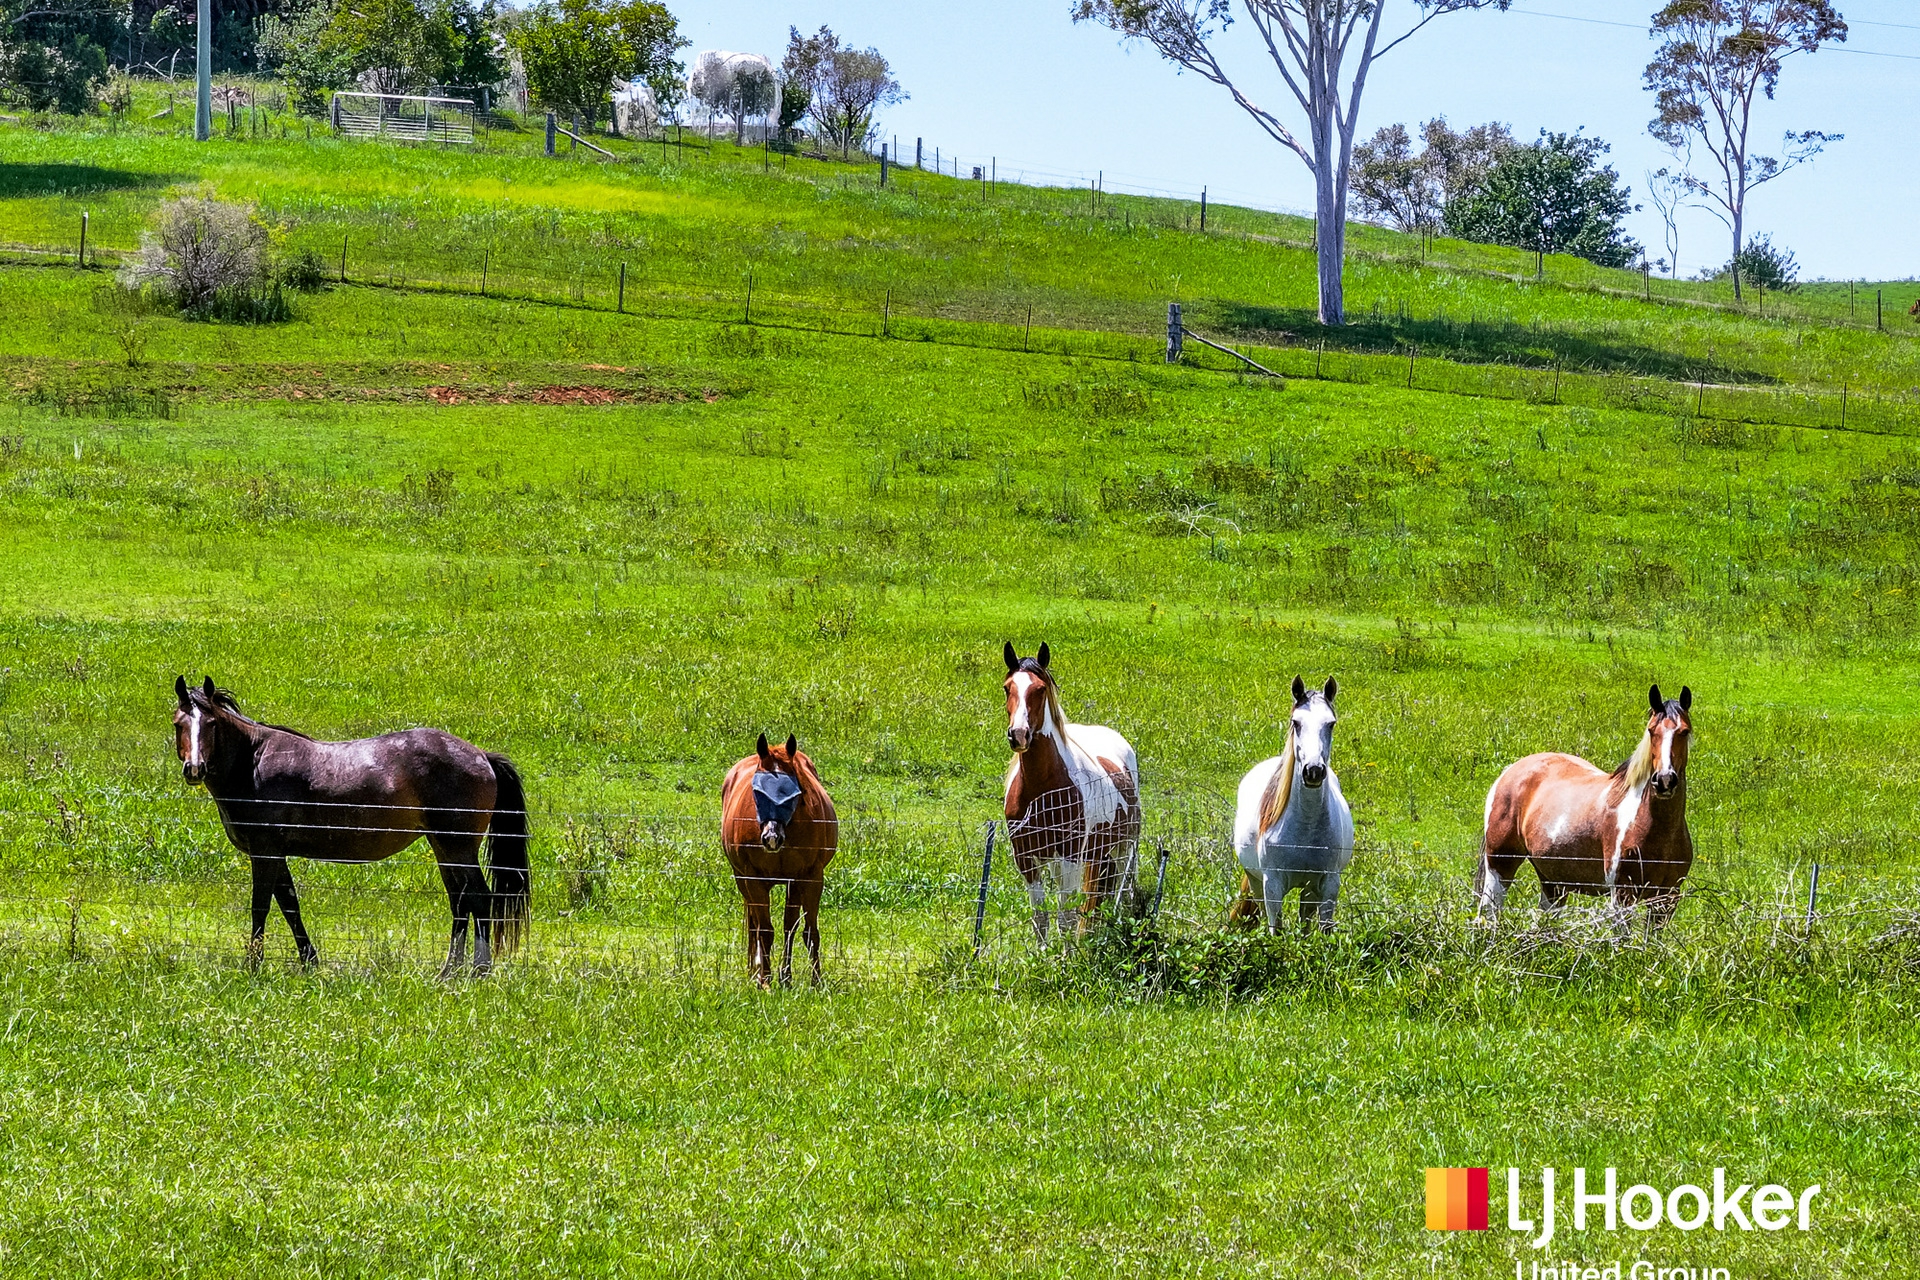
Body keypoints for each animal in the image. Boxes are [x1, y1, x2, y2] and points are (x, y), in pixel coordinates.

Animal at [171, 676, 530, 975]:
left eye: (212, 723)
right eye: (179, 723)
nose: (195, 768)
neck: (253, 763)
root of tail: (481, 755)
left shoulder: (265, 853)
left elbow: (261, 907)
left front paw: (253, 966)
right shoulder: (276, 854)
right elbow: (289, 905)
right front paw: (309, 962)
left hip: (458, 847)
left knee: (479, 899)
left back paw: (478, 970)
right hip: (444, 847)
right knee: (459, 901)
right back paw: (448, 971)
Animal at [719, 732, 838, 986]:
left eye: (794, 794)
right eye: (756, 792)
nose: (771, 838)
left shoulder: (809, 878)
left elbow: (807, 931)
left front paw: (814, 981)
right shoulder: (753, 879)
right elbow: (764, 930)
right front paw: (765, 980)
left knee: (788, 926)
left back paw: (785, 976)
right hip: (741, 877)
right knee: (754, 924)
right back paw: (755, 970)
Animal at [1001, 642, 1142, 945]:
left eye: (1040, 688)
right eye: (1007, 688)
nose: (1018, 734)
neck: (1041, 792)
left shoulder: (1071, 855)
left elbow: (1065, 917)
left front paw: (1067, 955)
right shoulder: (1026, 858)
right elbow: (1041, 918)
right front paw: (1043, 955)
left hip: (1123, 847)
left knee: (1122, 890)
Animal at [1229, 676, 1355, 932]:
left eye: (1331, 724)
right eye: (1296, 722)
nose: (1313, 771)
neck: (1305, 828)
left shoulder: (1329, 884)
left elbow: (1324, 931)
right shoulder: (1272, 885)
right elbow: (1276, 930)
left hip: (1308, 891)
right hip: (1257, 882)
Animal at [1476, 684, 1695, 931]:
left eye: (1684, 731)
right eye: (1651, 731)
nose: (1664, 780)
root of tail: (1510, 771)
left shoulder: (1666, 899)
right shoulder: (1622, 895)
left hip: (1553, 882)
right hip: (1500, 865)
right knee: (1489, 913)